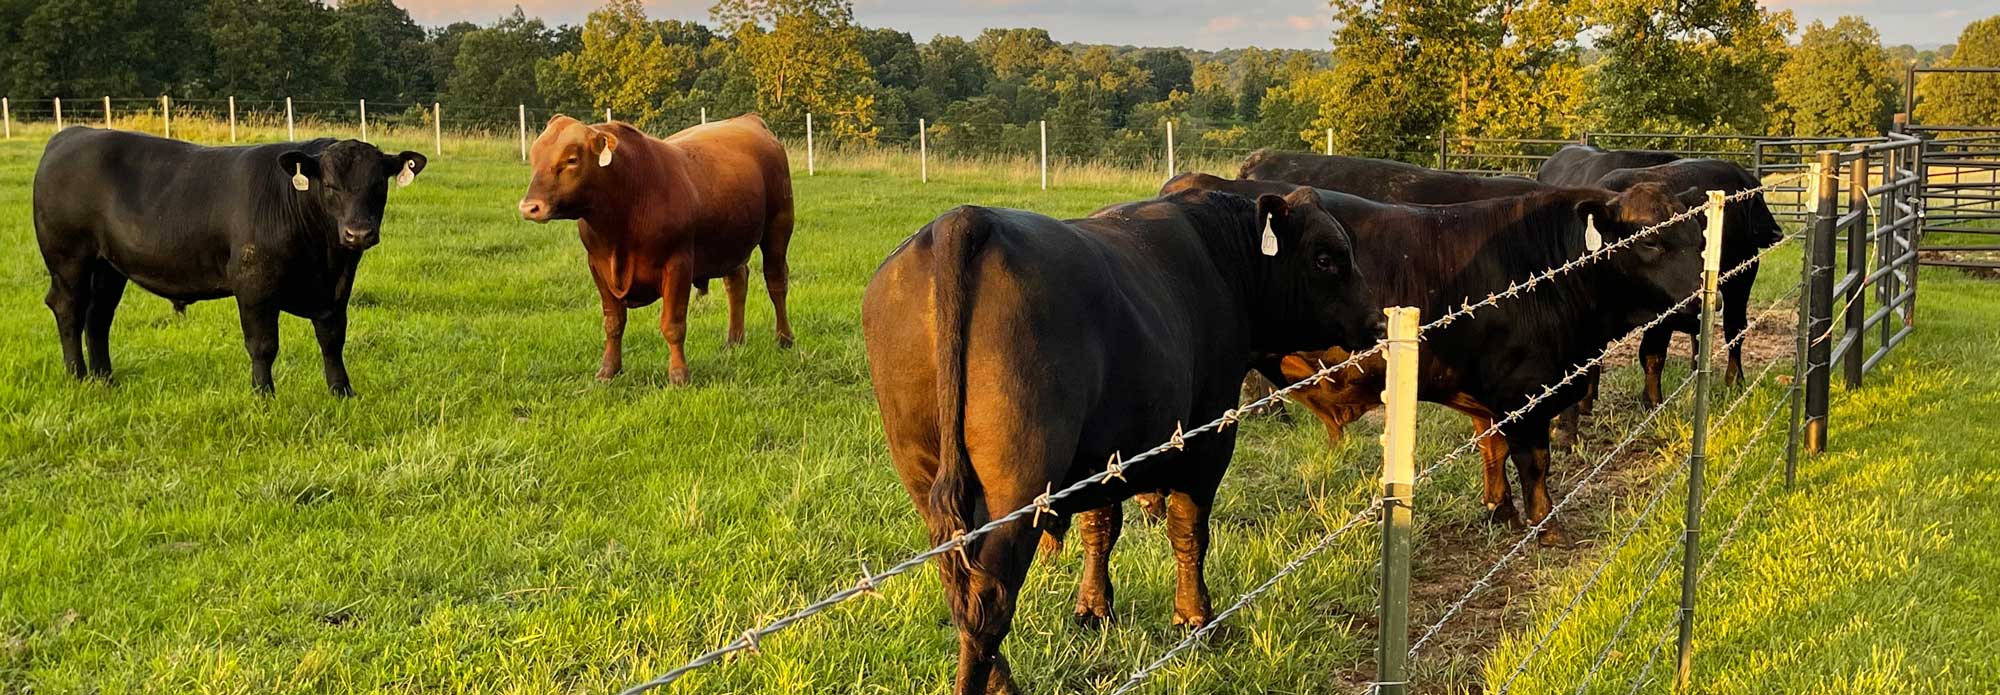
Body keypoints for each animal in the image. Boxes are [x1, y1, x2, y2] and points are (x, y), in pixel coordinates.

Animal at [31, 126, 426, 393]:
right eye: (329, 185)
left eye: (379, 184)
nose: (358, 234)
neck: (325, 258)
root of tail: (71, 135)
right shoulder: (254, 286)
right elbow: (263, 345)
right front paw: (264, 395)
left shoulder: (335, 292)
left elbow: (332, 339)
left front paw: (341, 392)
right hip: (69, 259)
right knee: (68, 309)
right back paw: (77, 375)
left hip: (109, 267)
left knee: (98, 317)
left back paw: (105, 379)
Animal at [520, 113, 792, 385]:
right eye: (534, 157)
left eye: (572, 159)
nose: (529, 207)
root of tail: (748, 119)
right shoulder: (597, 266)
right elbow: (613, 322)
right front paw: (608, 370)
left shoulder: (678, 264)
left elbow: (673, 325)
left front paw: (679, 375)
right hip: (731, 240)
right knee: (736, 284)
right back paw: (734, 341)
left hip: (778, 226)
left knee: (776, 282)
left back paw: (784, 339)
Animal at [868, 187, 1384, 691]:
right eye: (1326, 259)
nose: (1378, 323)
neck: (1224, 259)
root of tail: (968, 218)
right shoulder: (1209, 436)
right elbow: (1188, 528)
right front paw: (1194, 618)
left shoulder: (1103, 457)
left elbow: (1100, 527)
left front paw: (1094, 609)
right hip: (1014, 484)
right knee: (988, 600)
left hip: (926, 475)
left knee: (960, 590)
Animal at [1168, 170, 1712, 535]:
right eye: (1650, 241)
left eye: (1696, 234)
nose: (1708, 298)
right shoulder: (1523, 392)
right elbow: (1534, 461)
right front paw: (1545, 525)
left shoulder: (1492, 395)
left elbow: (1493, 449)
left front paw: (1499, 510)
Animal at [1536, 146, 1792, 407]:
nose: (1775, 232)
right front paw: (1587, 400)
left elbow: (1652, 355)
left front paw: (1652, 402)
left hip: (1741, 279)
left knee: (1734, 328)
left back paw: (1735, 380)